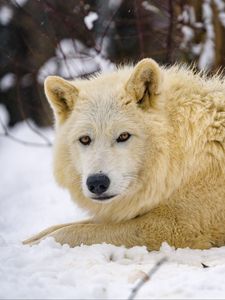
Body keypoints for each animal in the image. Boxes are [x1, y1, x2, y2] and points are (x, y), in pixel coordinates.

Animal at [22, 58, 225, 251]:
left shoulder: (173, 225)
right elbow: (59, 227)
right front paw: (26, 242)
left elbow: (74, 232)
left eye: (123, 136)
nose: (97, 182)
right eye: (85, 139)